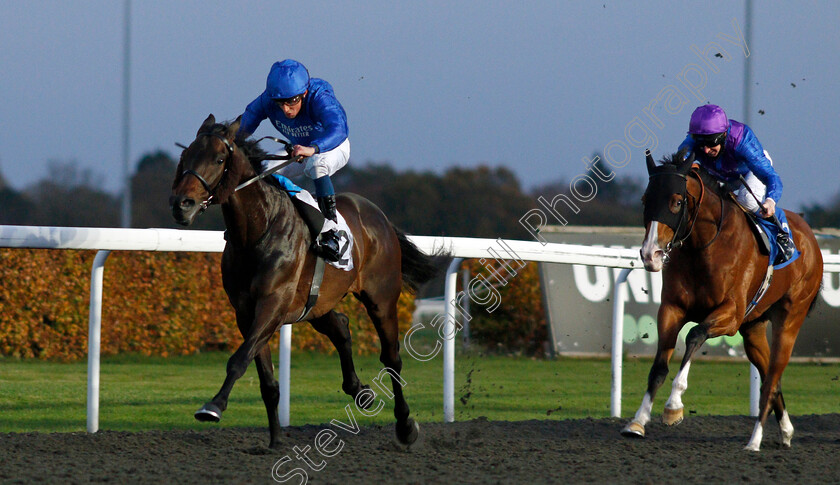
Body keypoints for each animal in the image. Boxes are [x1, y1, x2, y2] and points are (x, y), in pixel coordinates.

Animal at [167, 115, 436, 448]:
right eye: (185, 156)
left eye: (218, 159)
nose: (182, 204)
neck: (257, 232)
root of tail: (380, 217)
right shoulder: (247, 312)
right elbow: (266, 379)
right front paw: (275, 441)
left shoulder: (272, 305)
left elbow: (239, 359)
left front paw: (213, 406)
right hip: (316, 303)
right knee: (341, 327)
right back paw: (360, 392)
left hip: (381, 298)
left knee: (391, 358)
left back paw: (405, 425)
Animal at [620, 150, 824, 450]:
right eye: (646, 199)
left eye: (677, 201)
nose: (650, 254)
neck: (703, 246)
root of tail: (810, 236)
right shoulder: (671, 309)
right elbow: (658, 368)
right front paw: (637, 421)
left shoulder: (731, 313)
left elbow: (694, 335)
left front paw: (673, 406)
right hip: (753, 329)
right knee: (769, 377)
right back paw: (786, 430)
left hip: (790, 319)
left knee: (772, 378)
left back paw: (754, 441)